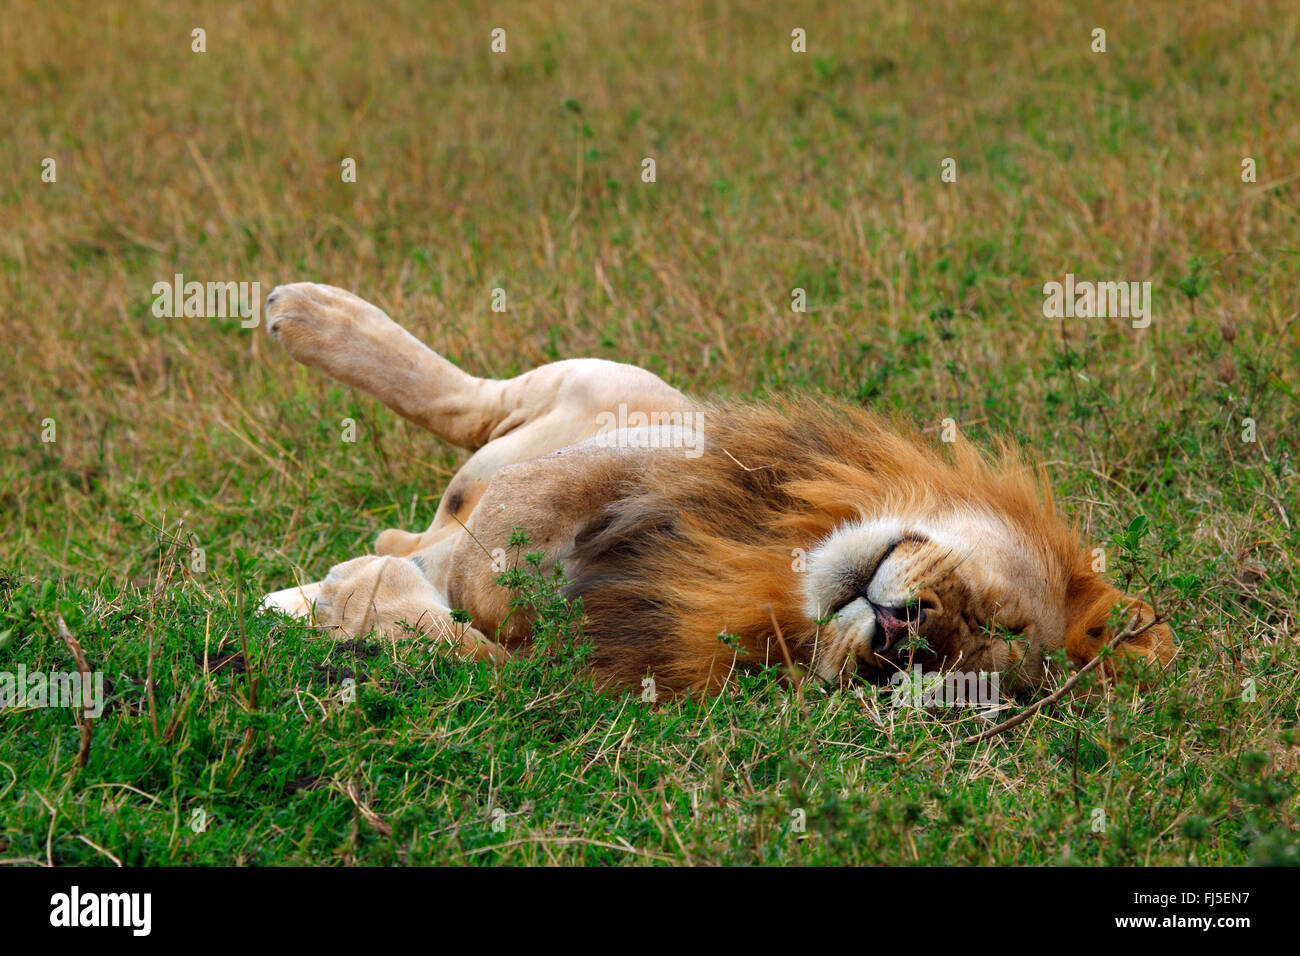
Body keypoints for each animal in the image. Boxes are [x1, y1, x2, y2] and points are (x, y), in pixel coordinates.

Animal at [260, 282, 1174, 698]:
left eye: (914, 679)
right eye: (994, 615)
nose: (899, 636)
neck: (778, 553)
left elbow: (477, 643)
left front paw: (351, 599)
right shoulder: (671, 453)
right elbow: (514, 523)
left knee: (419, 515)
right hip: (608, 382)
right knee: (471, 406)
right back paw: (303, 312)